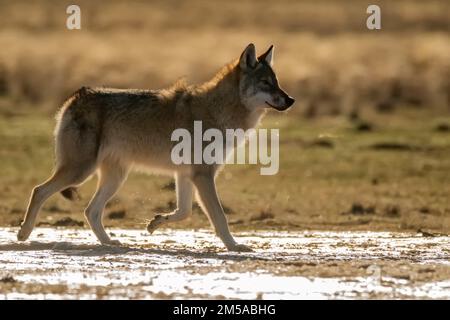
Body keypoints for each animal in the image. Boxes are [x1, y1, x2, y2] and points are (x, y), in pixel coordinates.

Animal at [16, 43, 296, 251]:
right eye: (266, 83)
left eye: (277, 82)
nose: (291, 99)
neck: (220, 111)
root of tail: (77, 95)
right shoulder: (203, 175)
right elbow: (219, 217)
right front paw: (234, 246)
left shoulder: (186, 174)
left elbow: (184, 211)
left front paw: (155, 222)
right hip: (81, 172)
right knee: (39, 191)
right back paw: (23, 233)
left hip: (114, 177)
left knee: (90, 211)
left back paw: (110, 243)